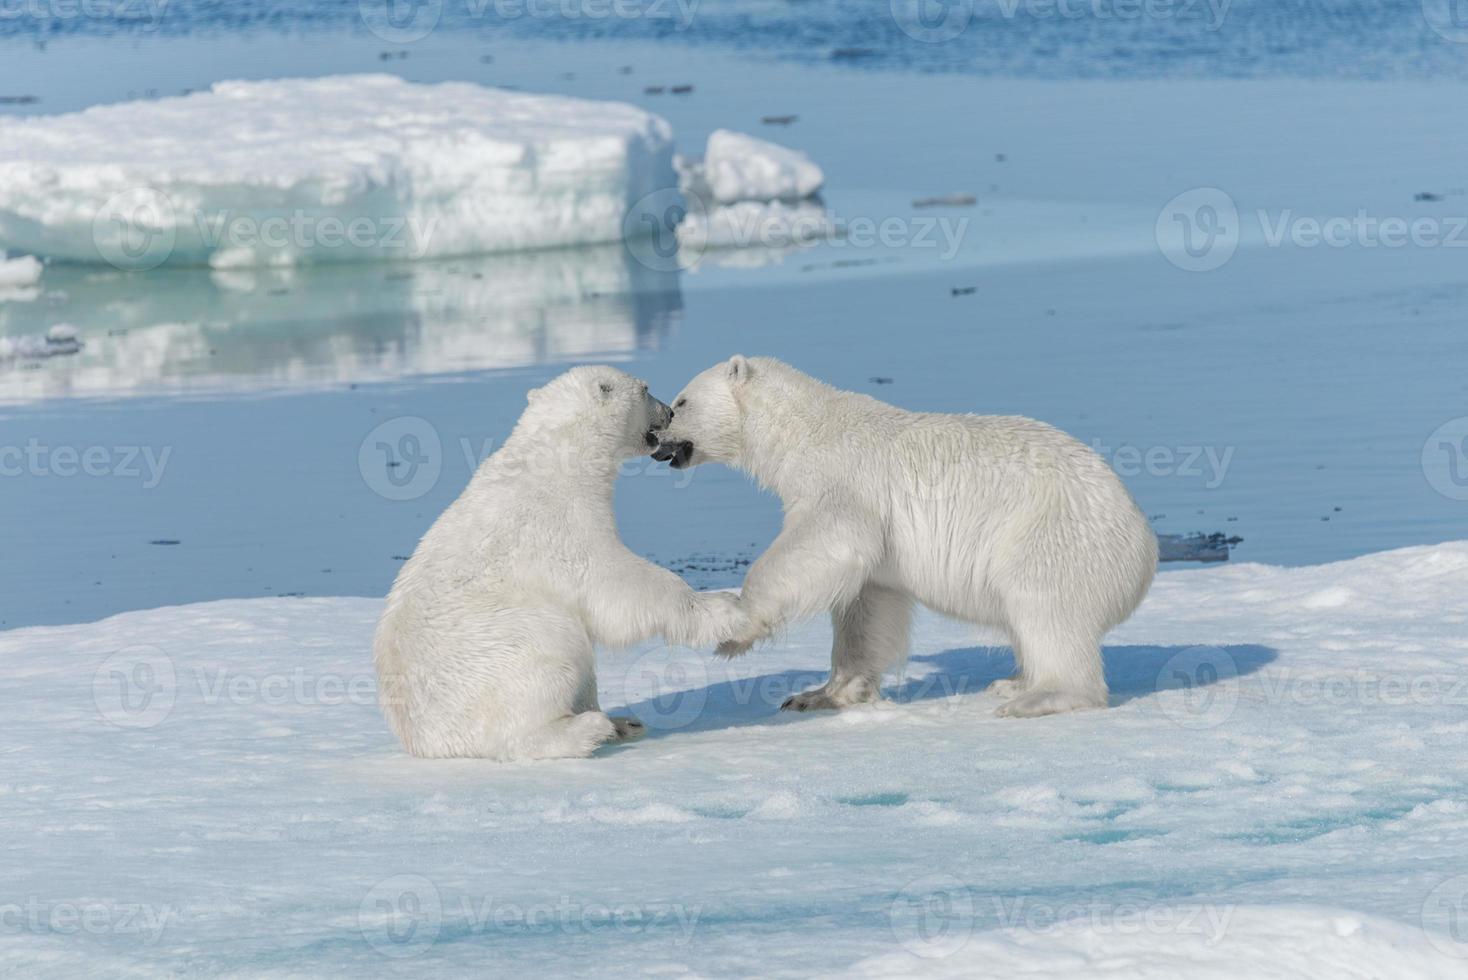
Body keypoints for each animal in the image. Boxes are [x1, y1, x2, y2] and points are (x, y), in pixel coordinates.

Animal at [375, 365, 745, 757]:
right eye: (646, 389)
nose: (669, 412)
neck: (557, 456)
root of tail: (427, 740)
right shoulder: (560, 523)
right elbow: (613, 583)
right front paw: (723, 608)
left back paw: (622, 722)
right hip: (507, 654)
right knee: (547, 667)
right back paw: (588, 729)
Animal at [654, 356, 1156, 715]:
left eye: (681, 402)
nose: (657, 438)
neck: (805, 429)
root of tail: (1145, 547)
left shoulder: (843, 480)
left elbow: (825, 539)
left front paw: (736, 631)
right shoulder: (881, 551)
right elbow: (868, 604)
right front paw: (821, 694)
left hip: (1049, 534)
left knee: (1044, 606)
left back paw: (1037, 696)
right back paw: (1013, 681)